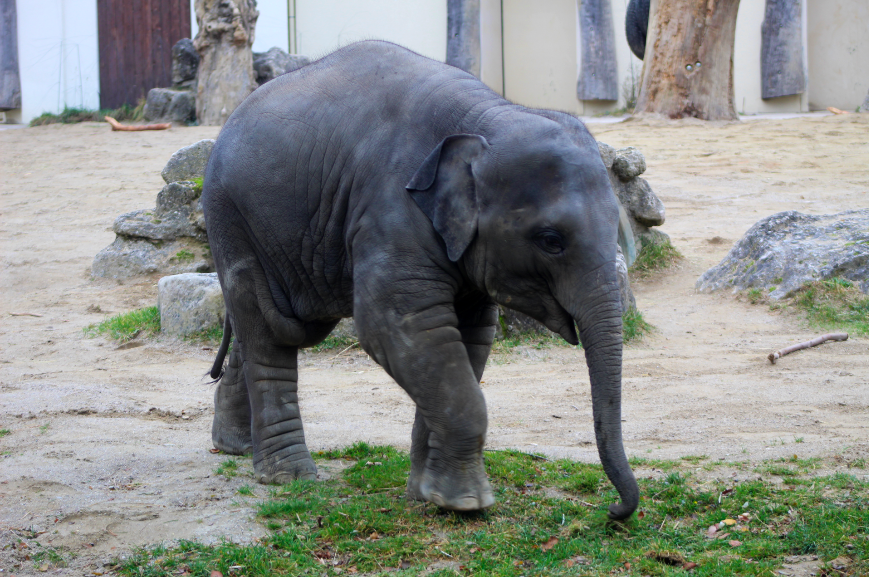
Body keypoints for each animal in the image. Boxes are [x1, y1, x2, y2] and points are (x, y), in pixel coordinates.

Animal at [203, 40, 639, 520]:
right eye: (551, 241)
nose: (613, 511)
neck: (488, 118)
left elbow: (470, 335)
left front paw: (428, 495)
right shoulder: (390, 208)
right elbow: (397, 325)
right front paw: (467, 504)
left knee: (270, 323)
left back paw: (235, 447)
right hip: (231, 218)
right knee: (271, 328)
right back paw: (289, 476)